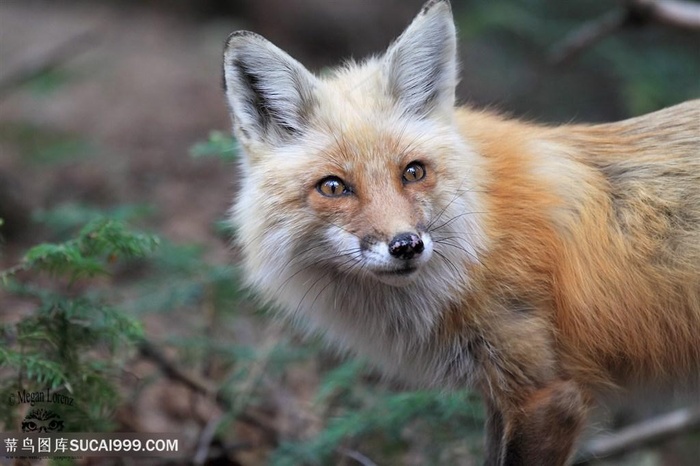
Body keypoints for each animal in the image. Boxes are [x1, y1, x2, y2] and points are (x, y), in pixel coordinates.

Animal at [221, 0, 696, 462]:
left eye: (413, 172)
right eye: (333, 187)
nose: (406, 245)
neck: (483, 240)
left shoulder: (546, 395)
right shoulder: (501, 395)